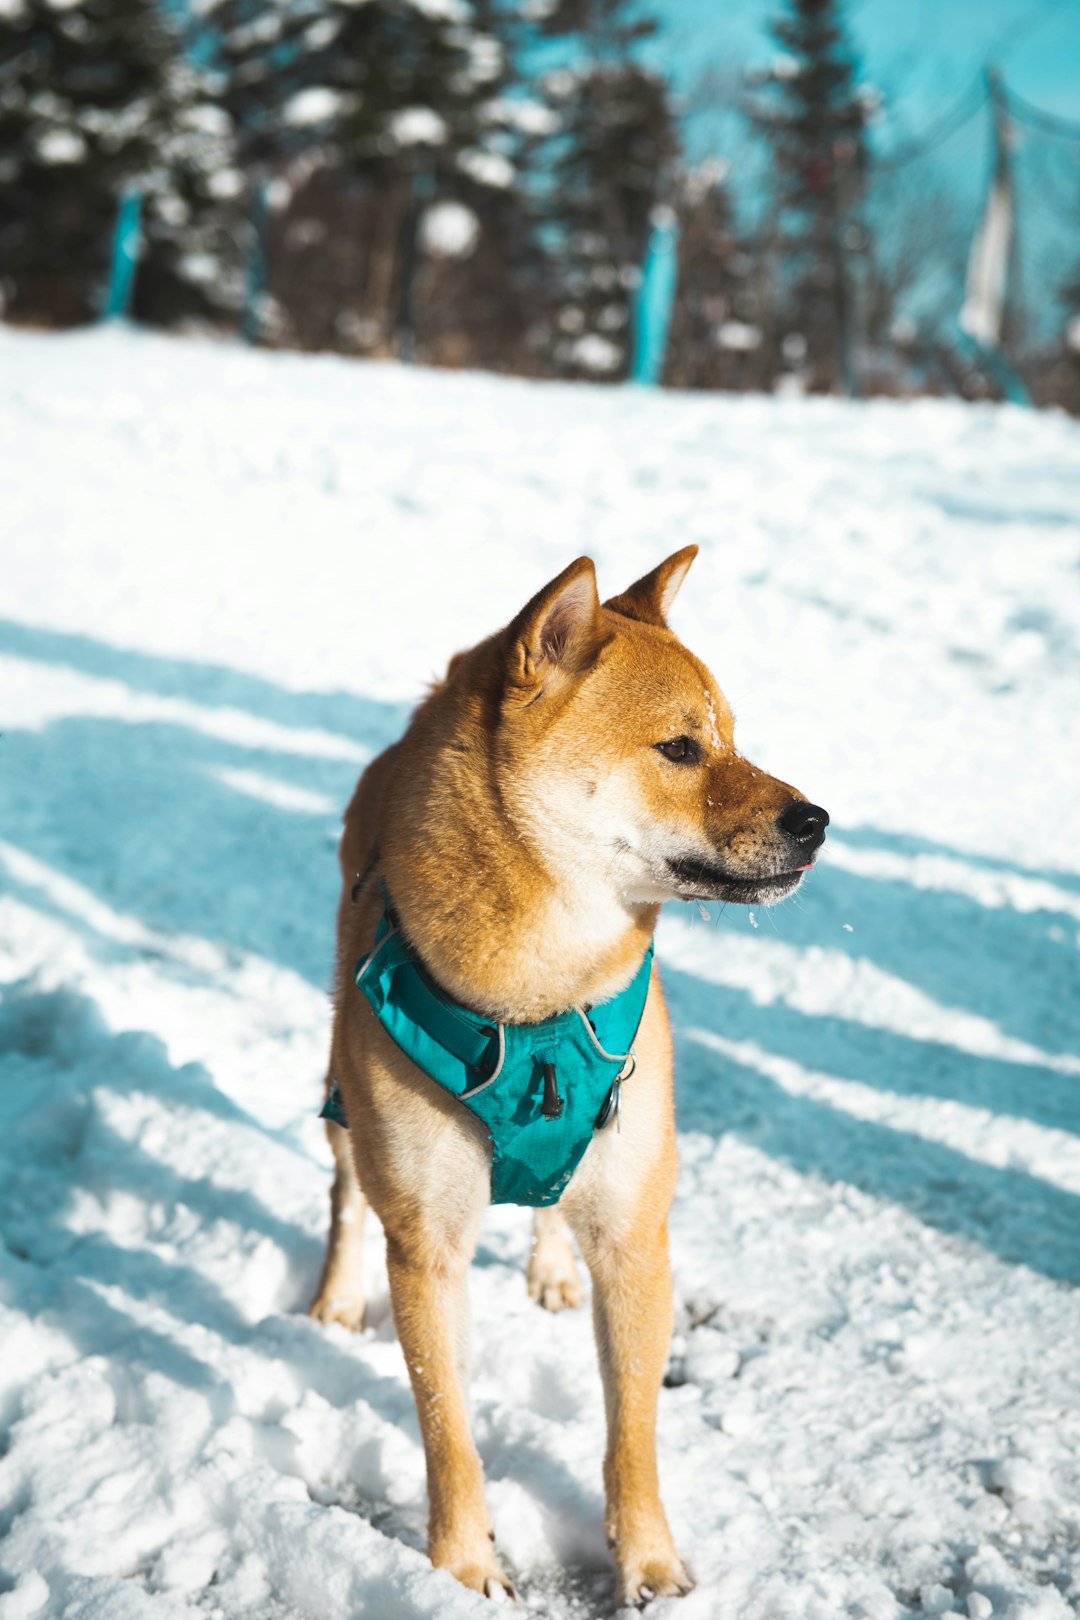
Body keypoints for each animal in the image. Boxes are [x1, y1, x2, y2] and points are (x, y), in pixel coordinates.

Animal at [307, 550, 835, 1600]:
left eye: (732, 736)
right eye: (680, 748)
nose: (817, 821)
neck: (540, 1005)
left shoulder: (635, 1235)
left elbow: (632, 1426)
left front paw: (650, 1565)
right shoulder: (427, 1245)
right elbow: (447, 1430)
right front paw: (462, 1568)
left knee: (554, 1202)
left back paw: (552, 1261)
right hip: (346, 1091)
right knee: (346, 1194)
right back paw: (335, 1296)